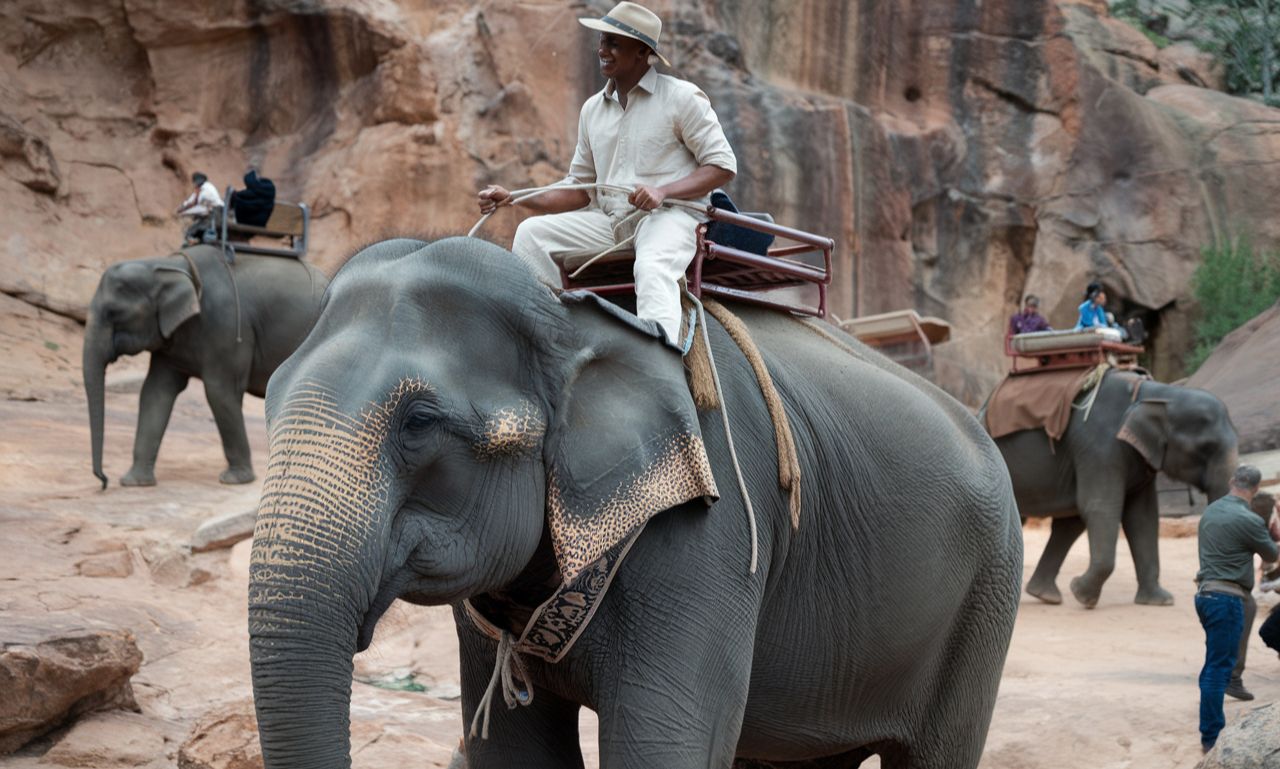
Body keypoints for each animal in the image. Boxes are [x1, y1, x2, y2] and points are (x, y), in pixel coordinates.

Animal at [83, 245, 327, 486]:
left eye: (114, 313)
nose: (103, 480)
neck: (167, 266)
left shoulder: (226, 326)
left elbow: (218, 392)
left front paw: (235, 479)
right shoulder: (169, 341)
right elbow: (155, 391)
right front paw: (134, 482)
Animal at [241, 237, 1018, 767]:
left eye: (420, 422)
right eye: (271, 395)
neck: (570, 318)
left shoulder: (710, 529)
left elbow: (662, 742)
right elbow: (515, 750)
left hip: (985, 599)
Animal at [993, 368, 1233, 609]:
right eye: (1206, 447)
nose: (1197, 580)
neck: (1160, 393)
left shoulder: (1141, 458)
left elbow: (1142, 517)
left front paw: (1159, 601)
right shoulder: (1099, 445)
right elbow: (1101, 507)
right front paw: (1082, 596)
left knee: (1069, 523)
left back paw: (1045, 595)